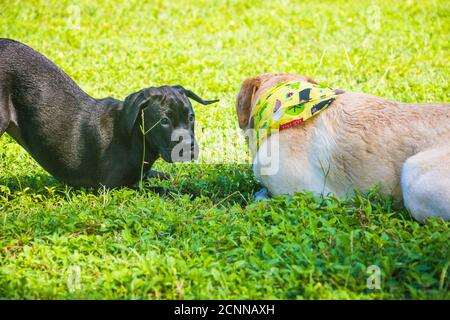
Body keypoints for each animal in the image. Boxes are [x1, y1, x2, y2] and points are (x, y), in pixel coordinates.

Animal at [0, 38, 218, 188]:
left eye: (191, 118)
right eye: (164, 121)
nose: (189, 149)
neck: (134, 138)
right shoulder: (113, 187)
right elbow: (166, 191)